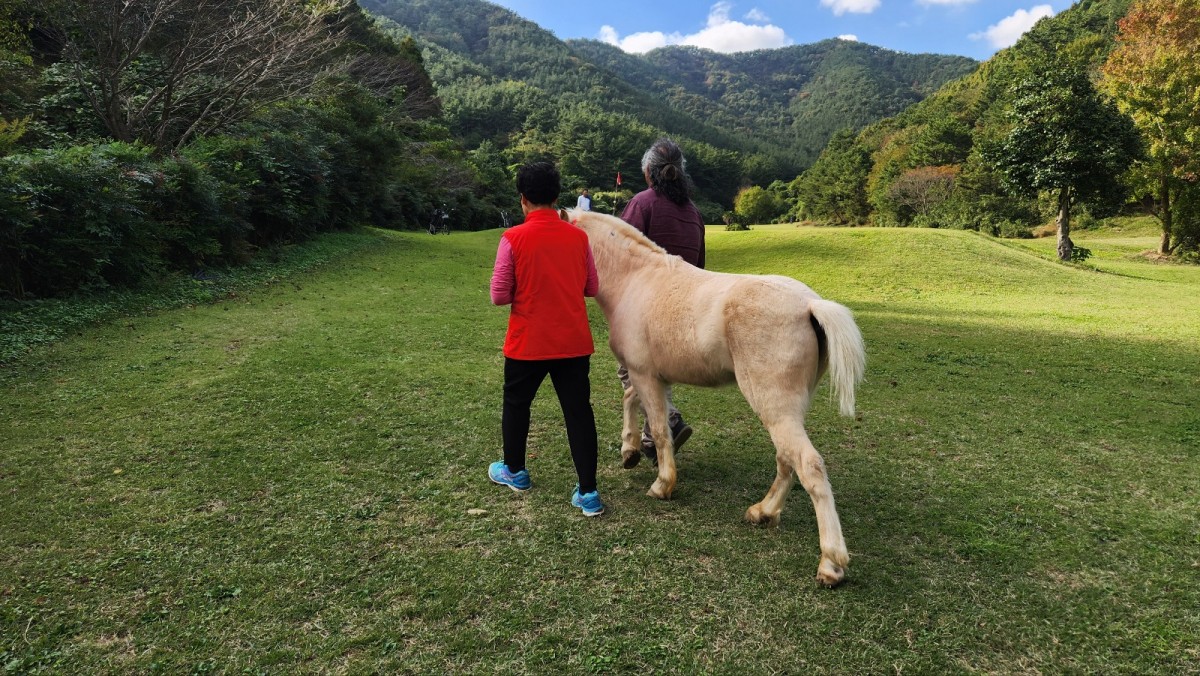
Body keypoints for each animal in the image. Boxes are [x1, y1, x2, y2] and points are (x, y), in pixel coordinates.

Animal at [566, 208, 868, 583]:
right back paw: (763, 511)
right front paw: (629, 450)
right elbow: (631, 400)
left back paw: (831, 562)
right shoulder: (651, 376)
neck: (636, 281)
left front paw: (662, 484)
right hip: (785, 410)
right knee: (787, 458)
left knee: (808, 464)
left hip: (773, 406)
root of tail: (810, 304)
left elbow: (660, 429)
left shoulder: (645, 374)